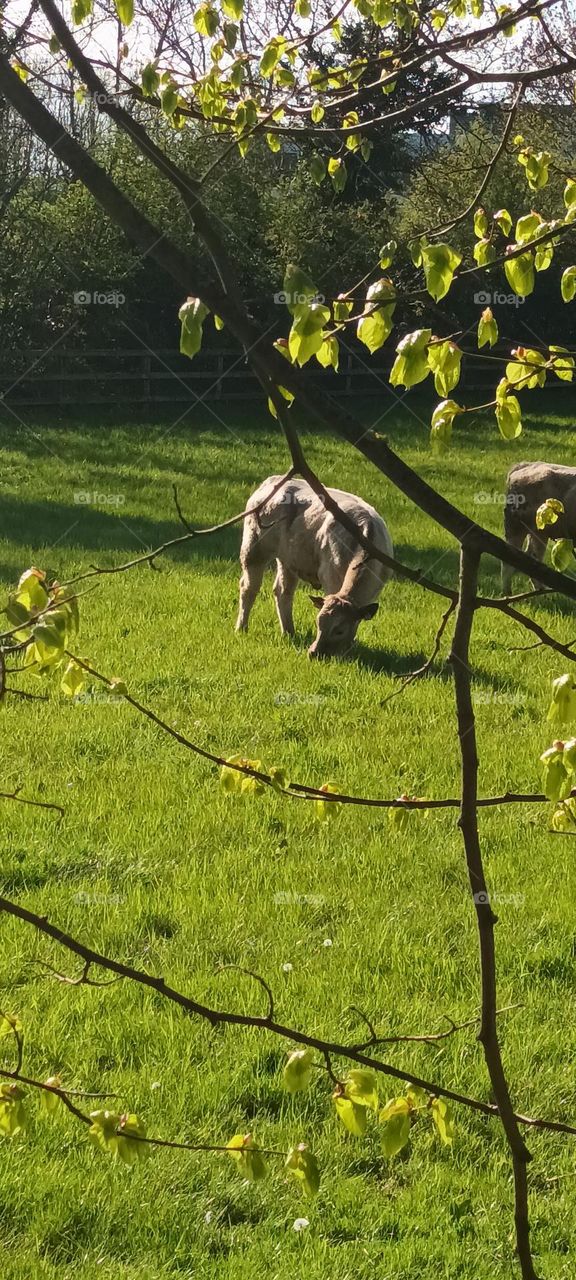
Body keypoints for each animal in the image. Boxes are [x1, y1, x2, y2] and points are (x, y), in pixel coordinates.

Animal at [236, 475, 394, 658]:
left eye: (339, 631)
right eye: (318, 624)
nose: (313, 653)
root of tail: (274, 480)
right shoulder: (330, 576)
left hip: (288, 558)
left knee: (283, 591)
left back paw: (289, 632)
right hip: (254, 549)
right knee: (249, 588)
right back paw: (241, 628)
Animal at [502, 461, 576, 593]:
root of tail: (527, 465)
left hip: (536, 532)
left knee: (531, 558)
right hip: (518, 528)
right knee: (510, 561)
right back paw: (508, 594)